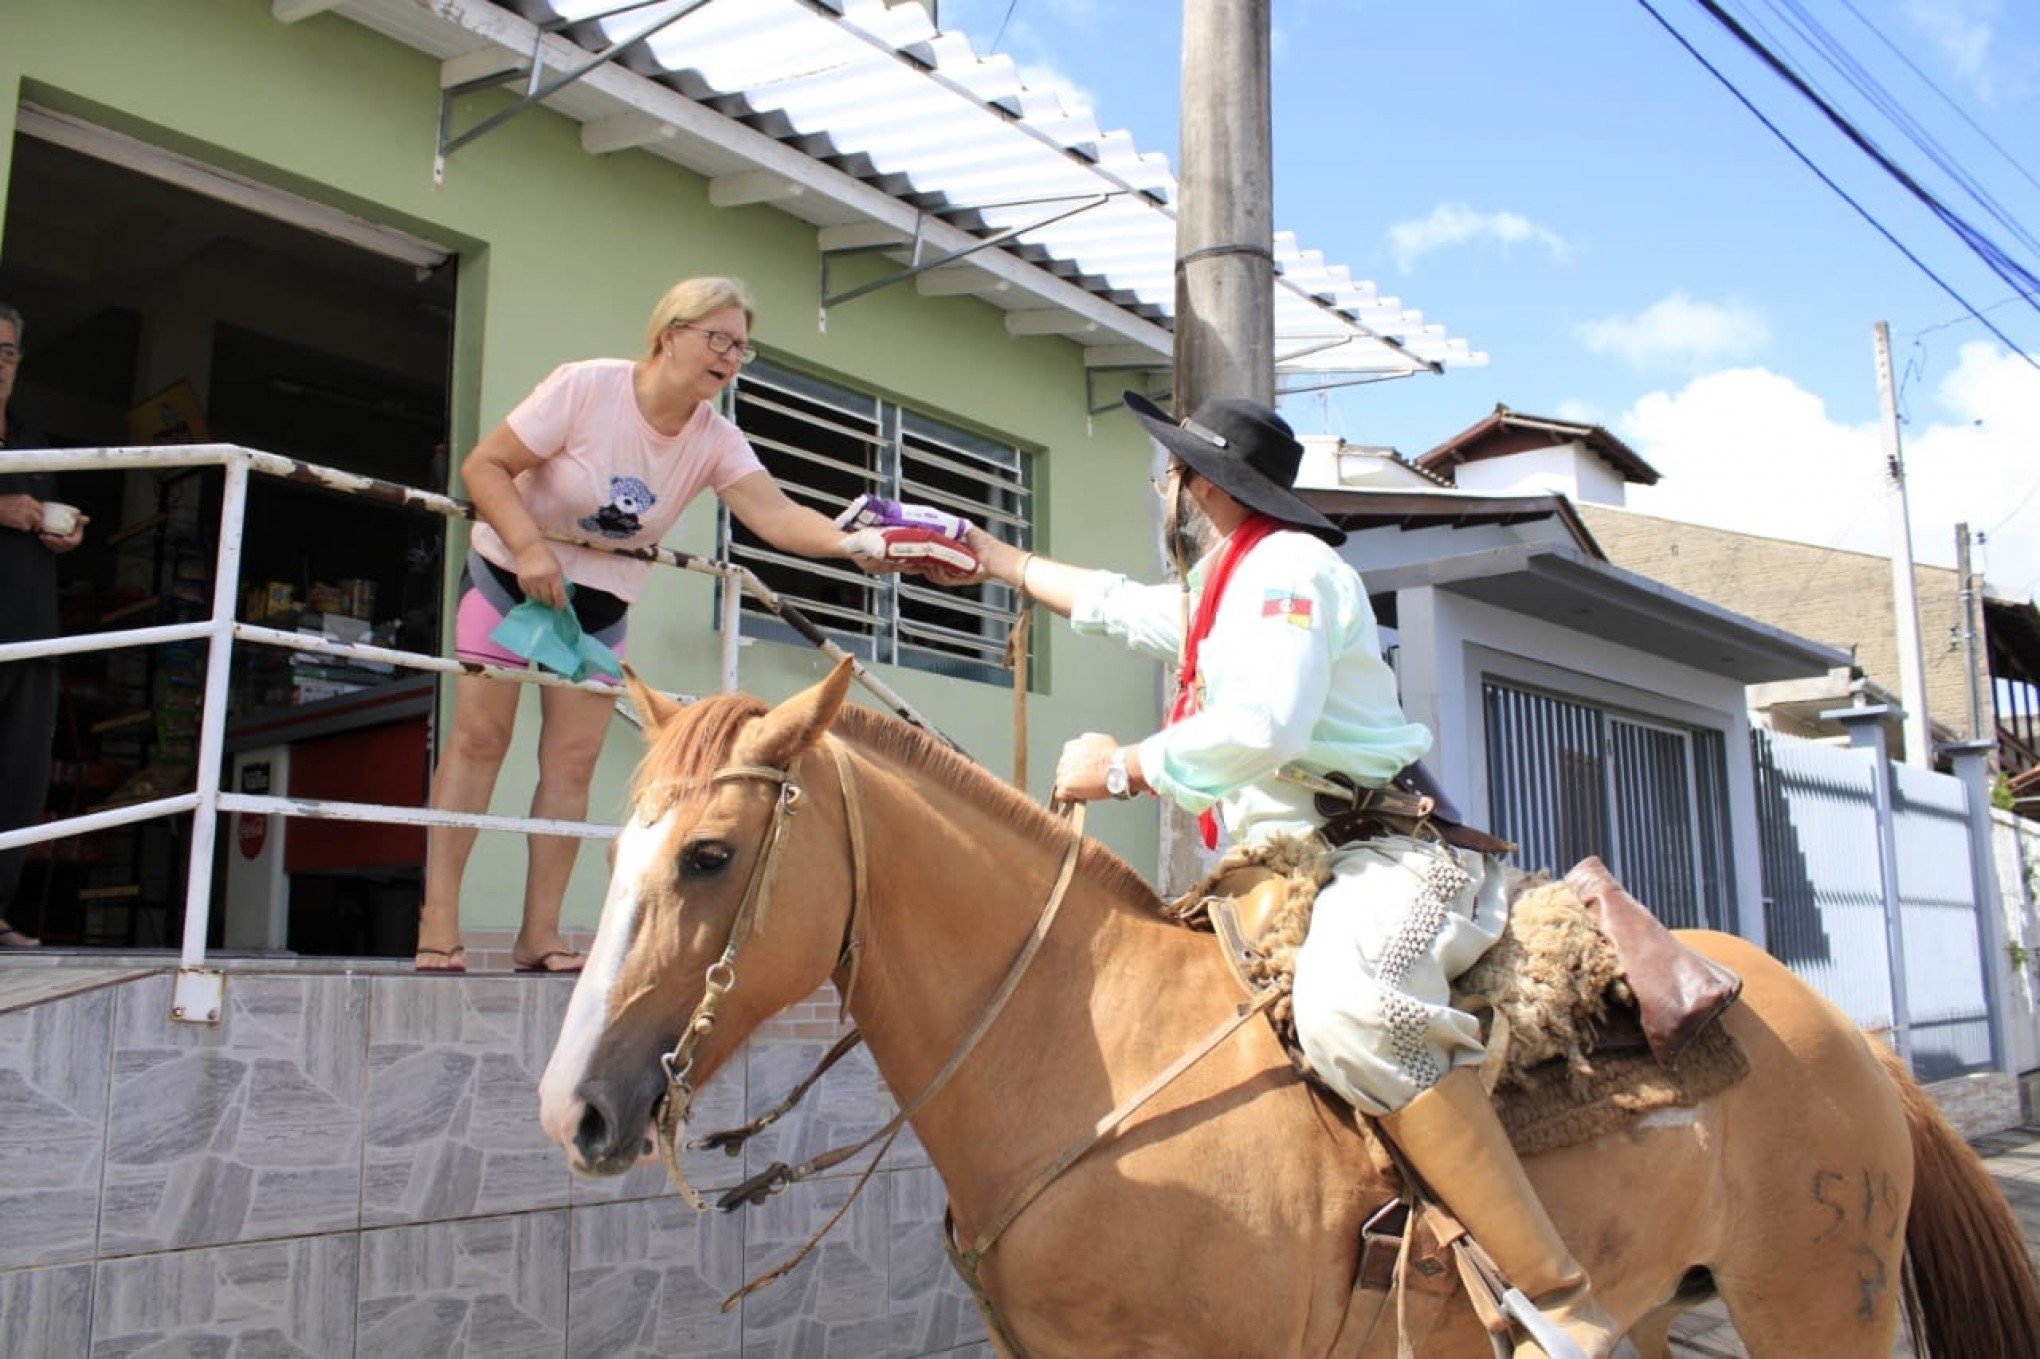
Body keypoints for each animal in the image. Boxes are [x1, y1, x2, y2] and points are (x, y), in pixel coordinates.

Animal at [538, 652, 2040, 1346]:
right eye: (615, 845)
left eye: (709, 854)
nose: (575, 1109)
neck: (1077, 1053)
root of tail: (1853, 1039)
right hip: (1675, 1298)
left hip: (1815, 1305)